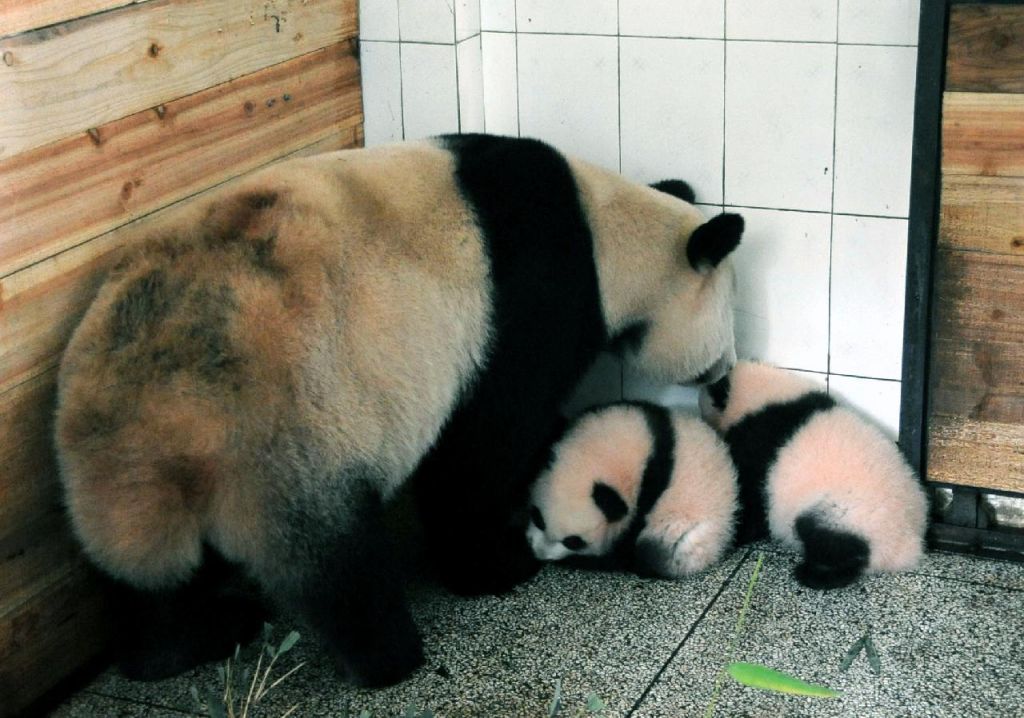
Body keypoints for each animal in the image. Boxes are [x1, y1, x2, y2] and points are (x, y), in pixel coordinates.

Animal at [527, 402, 738, 579]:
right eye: (538, 518)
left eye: (573, 541)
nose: (540, 554)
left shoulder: (647, 493)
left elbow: (624, 543)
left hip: (684, 540)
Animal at [698, 361, 928, 589]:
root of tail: (908, 546)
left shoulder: (757, 446)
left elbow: (749, 496)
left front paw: (735, 533)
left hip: (846, 514)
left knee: (832, 542)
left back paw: (815, 574)